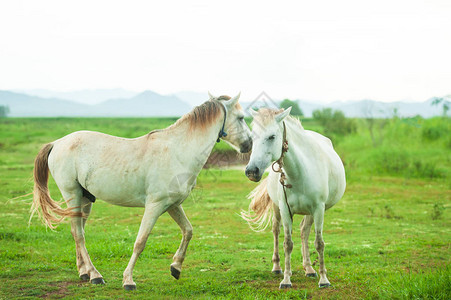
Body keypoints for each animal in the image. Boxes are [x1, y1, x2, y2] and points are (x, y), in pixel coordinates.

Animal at [30, 92, 252, 290]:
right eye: (241, 117)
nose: (249, 144)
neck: (178, 151)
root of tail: (57, 143)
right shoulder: (154, 206)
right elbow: (140, 241)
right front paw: (128, 280)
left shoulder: (173, 205)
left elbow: (188, 231)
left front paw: (176, 267)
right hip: (72, 194)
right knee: (79, 234)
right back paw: (95, 276)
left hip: (85, 199)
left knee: (78, 231)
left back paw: (84, 273)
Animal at [244, 107, 346, 288]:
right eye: (253, 137)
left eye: (272, 136)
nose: (251, 171)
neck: (300, 172)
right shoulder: (285, 209)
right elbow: (287, 243)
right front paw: (286, 279)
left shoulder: (318, 209)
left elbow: (319, 243)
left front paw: (324, 279)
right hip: (277, 209)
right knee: (276, 231)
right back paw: (277, 267)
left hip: (311, 212)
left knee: (304, 231)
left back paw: (309, 269)